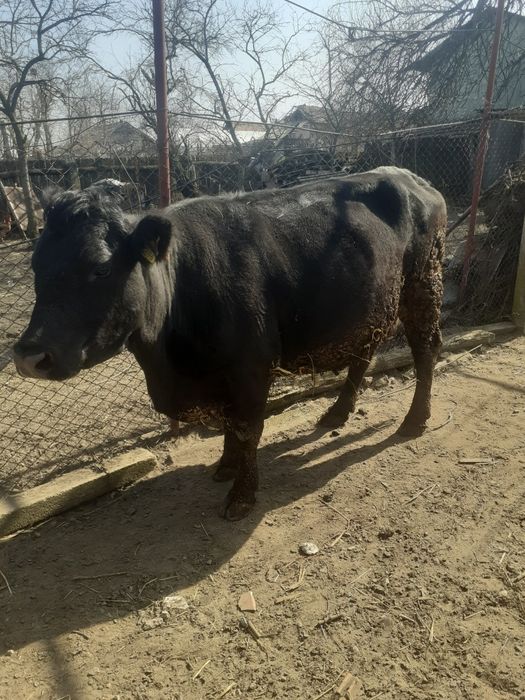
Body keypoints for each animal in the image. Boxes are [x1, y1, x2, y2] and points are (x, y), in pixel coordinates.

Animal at [13, 167, 447, 520]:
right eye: (36, 265)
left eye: (101, 268)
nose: (30, 355)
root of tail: (414, 179)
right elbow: (228, 425)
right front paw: (224, 466)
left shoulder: (251, 368)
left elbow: (247, 428)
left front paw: (242, 495)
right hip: (369, 308)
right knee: (363, 353)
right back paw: (337, 413)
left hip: (423, 286)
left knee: (426, 349)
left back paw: (415, 420)